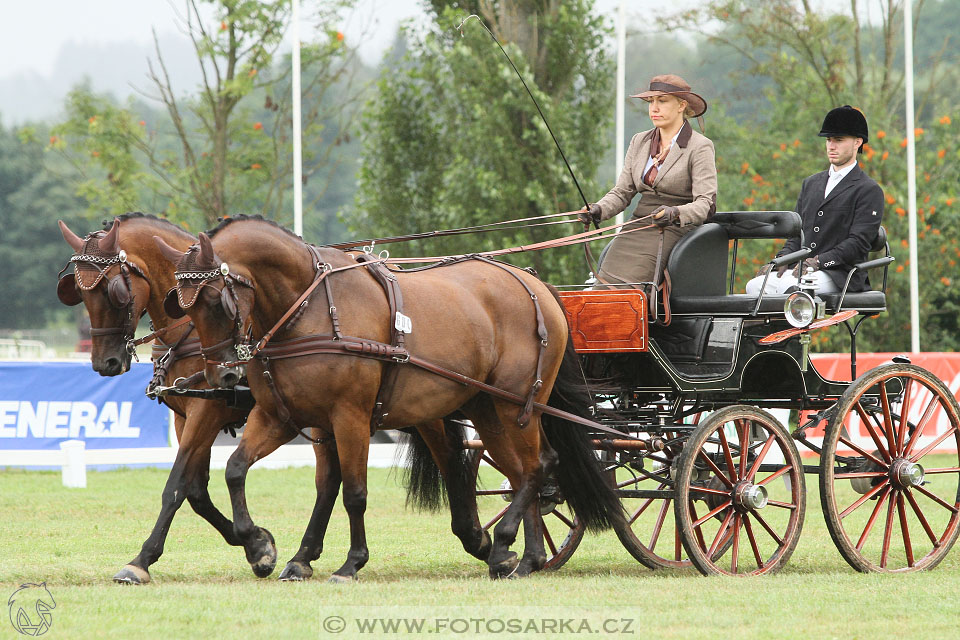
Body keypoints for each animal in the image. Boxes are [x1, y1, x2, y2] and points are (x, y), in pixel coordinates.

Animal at [56, 214, 251, 580]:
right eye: (80, 294)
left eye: (115, 292)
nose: (105, 363)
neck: (188, 328)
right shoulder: (184, 416)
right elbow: (196, 491)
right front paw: (254, 541)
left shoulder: (208, 411)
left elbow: (175, 486)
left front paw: (141, 560)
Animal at [156, 215, 624, 580]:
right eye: (182, 306)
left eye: (216, 300)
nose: (222, 375)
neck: (307, 307)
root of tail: (534, 284)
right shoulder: (281, 417)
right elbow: (236, 470)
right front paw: (260, 546)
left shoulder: (350, 417)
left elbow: (354, 492)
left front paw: (350, 563)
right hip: (486, 408)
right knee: (522, 470)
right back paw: (521, 558)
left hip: (517, 406)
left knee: (538, 466)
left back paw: (505, 543)